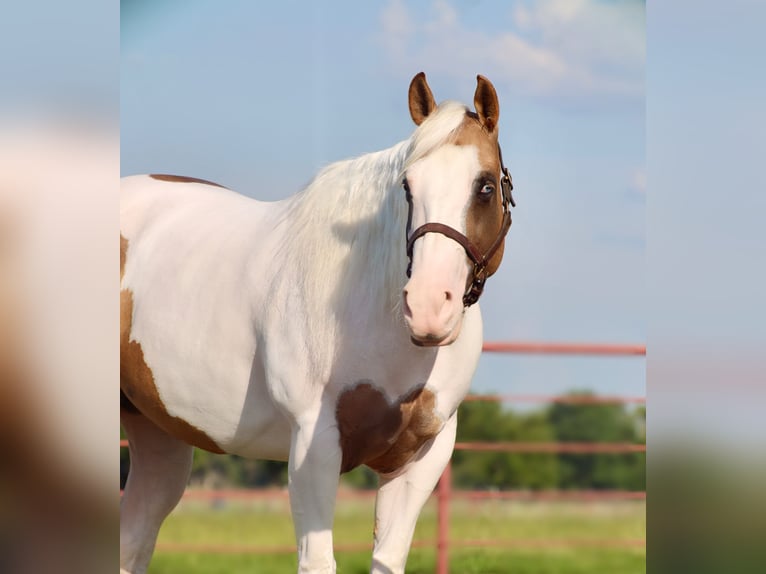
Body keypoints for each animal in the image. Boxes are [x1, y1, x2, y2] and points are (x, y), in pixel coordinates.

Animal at [120, 72, 515, 574]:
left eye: (485, 186)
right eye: (407, 187)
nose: (428, 307)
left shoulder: (421, 457)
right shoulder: (315, 444)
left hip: (158, 434)